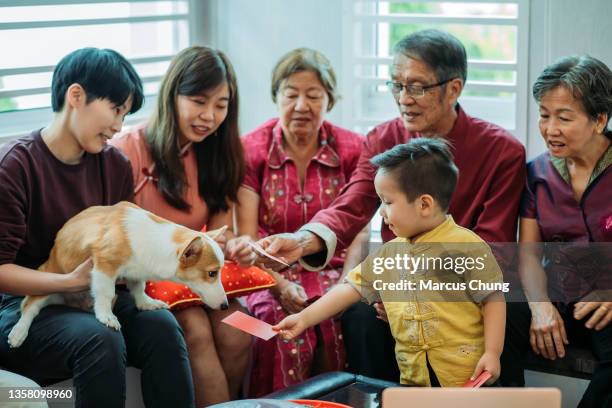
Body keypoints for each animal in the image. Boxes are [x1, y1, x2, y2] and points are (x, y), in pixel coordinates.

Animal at [8, 201, 228, 348]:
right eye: (211, 273)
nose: (225, 306)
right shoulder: (104, 265)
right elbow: (105, 293)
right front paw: (106, 316)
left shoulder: (136, 273)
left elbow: (138, 290)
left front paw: (146, 303)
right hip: (46, 282)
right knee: (29, 307)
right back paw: (18, 332)